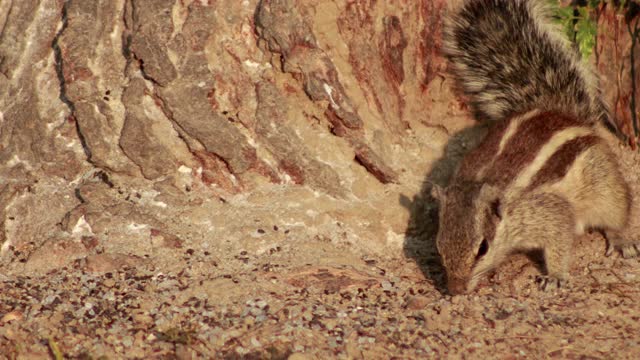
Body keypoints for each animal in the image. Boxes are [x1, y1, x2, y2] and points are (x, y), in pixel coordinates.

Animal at [432, 0, 636, 296]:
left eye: (483, 248)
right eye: (439, 244)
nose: (456, 290)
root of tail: (562, 113)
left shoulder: (549, 213)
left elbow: (560, 241)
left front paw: (555, 275)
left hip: (605, 185)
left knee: (618, 211)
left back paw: (622, 239)